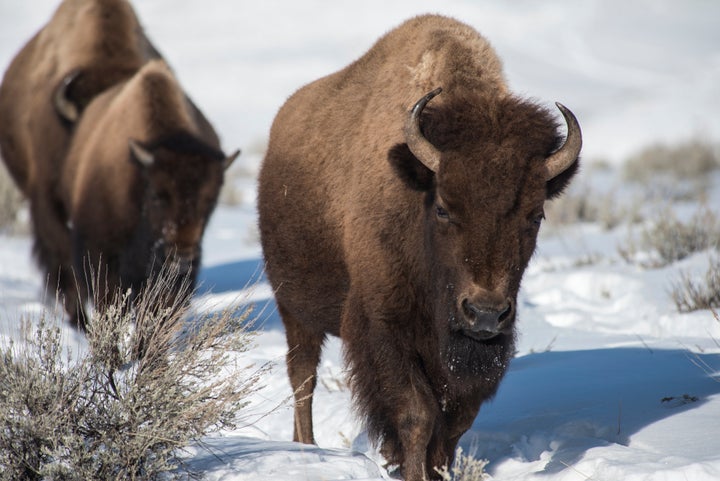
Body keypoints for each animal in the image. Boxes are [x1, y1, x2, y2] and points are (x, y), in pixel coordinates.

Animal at [258, 14, 581, 480]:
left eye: (535, 215)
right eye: (444, 208)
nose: (485, 312)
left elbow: (453, 423)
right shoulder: (385, 328)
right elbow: (416, 415)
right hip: (295, 311)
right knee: (303, 378)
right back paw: (306, 448)